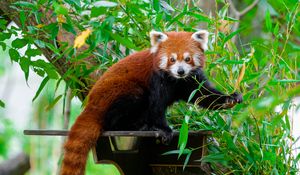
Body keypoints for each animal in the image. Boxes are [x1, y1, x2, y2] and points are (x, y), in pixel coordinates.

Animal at [59, 30, 243, 175]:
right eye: (172, 59)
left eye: (187, 59)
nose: (180, 71)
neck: (176, 80)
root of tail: (91, 105)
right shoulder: (157, 79)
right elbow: (157, 106)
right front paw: (164, 129)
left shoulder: (191, 81)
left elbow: (203, 95)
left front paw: (230, 98)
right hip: (120, 93)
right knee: (124, 109)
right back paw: (139, 127)